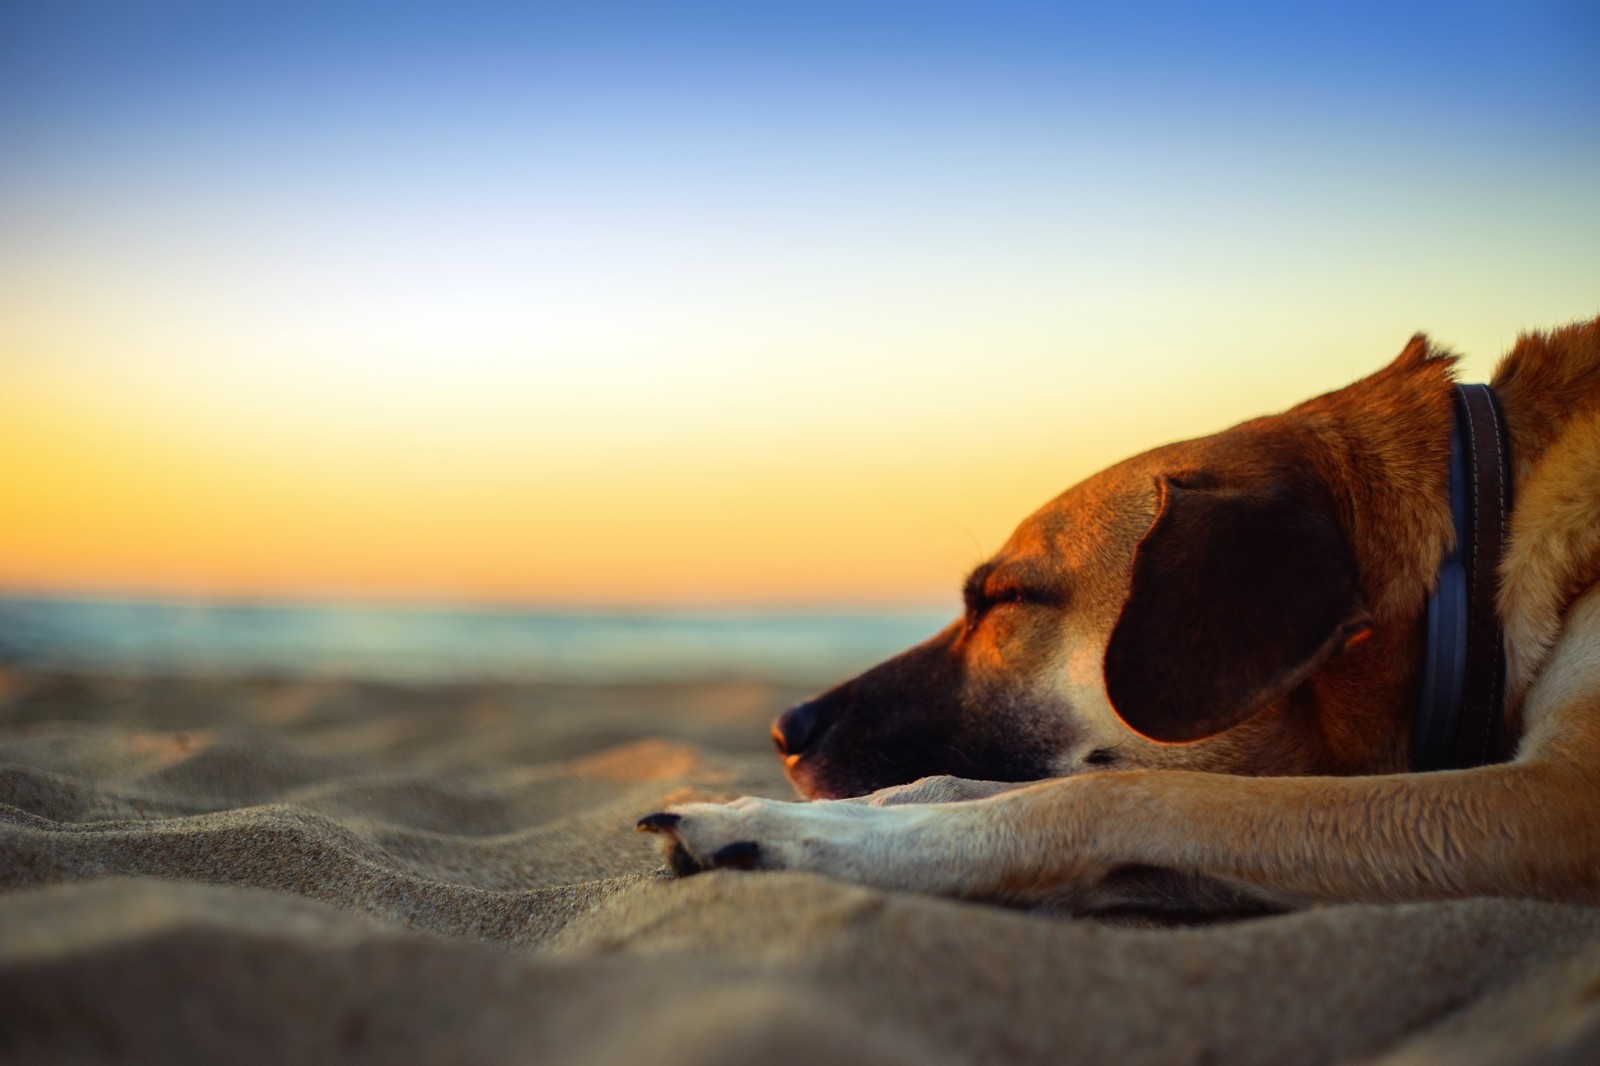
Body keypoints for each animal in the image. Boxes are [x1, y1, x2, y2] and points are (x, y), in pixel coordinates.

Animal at [636, 312, 1600, 909]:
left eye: (1005, 598)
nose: (782, 730)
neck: (1486, 522)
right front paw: (864, 810)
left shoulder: (1557, 799)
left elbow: (1112, 795)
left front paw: (785, 831)